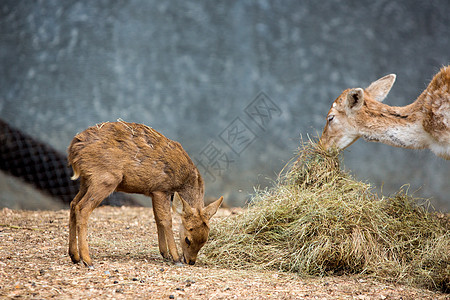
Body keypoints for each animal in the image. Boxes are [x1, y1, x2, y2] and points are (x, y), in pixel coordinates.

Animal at [68, 120, 223, 266]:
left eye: (205, 240)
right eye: (187, 239)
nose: (190, 261)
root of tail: (73, 148)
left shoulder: (153, 192)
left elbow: (157, 219)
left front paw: (165, 253)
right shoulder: (161, 189)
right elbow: (166, 220)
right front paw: (175, 257)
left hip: (86, 180)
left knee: (73, 204)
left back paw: (74, 256)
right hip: (105, 178)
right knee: (82, 208)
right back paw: (87, 260)